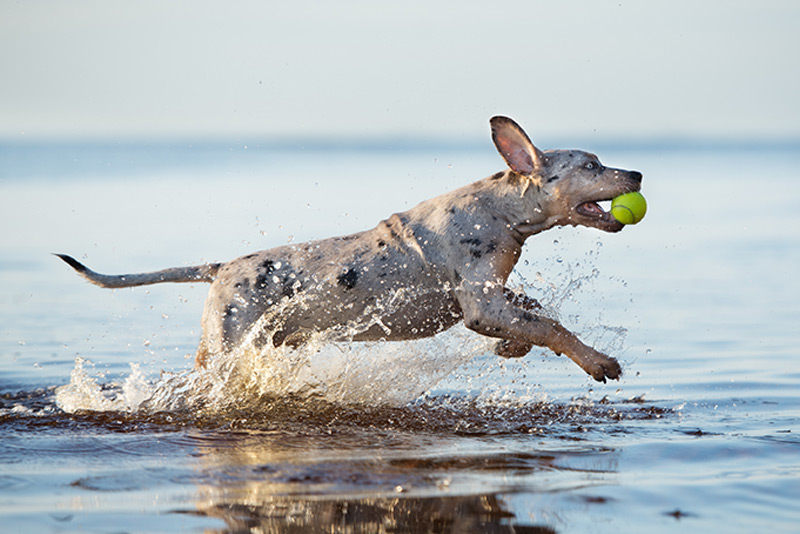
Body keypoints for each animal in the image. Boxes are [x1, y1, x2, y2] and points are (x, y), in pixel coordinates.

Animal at [57, 117, 644, 386]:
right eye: (591, 165)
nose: (636, 174)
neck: (499, 209)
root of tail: (221, 268)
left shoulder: (491, 297)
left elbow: (534, 314)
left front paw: (512, 346)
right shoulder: (481, 303)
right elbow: (553, 328)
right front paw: (596, 360)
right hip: (229, 344)